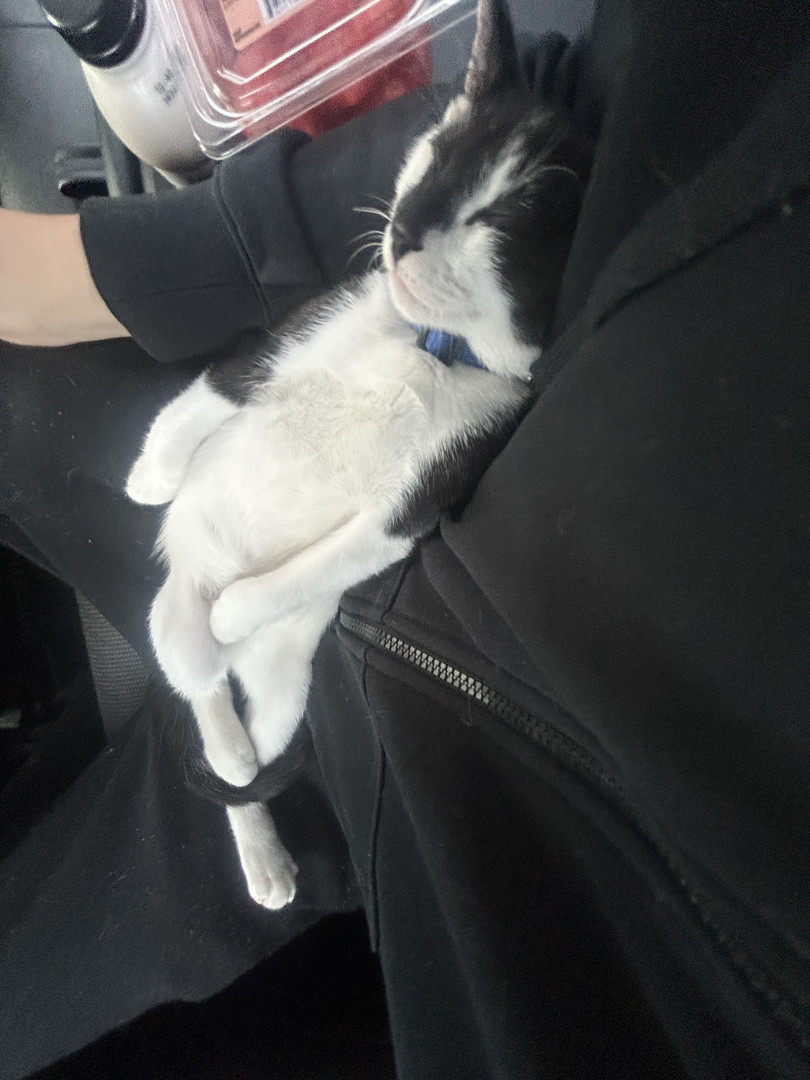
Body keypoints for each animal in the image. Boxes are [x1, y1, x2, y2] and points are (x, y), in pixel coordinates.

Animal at [126, 0, 592, 908]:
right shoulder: (304, 326)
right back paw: (233, 763)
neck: (432, 347)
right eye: (435, 158)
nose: (405, 230)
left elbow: (340, 555)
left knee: (243, 732)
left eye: (496, 219)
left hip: (284, 687)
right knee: (197, 684)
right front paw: (154, 468)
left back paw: (248, 782)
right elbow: (220, 385)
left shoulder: (426, 493)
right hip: (174, 613)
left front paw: (240, 602)